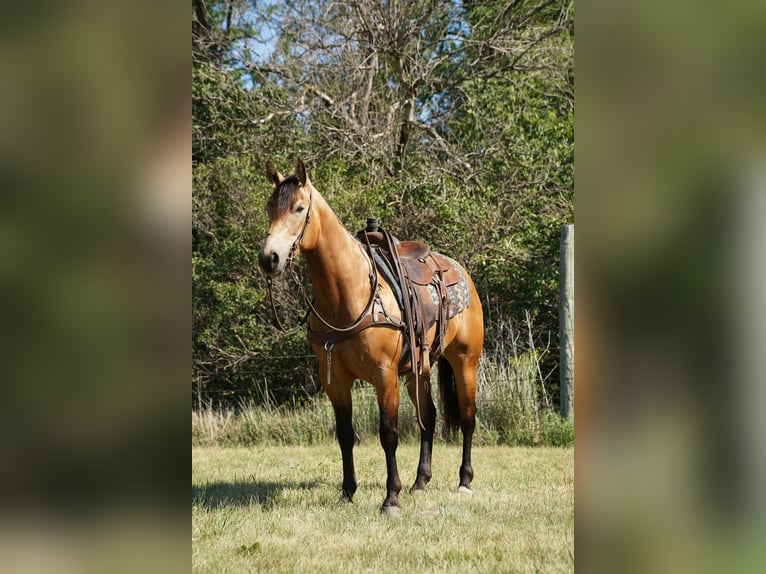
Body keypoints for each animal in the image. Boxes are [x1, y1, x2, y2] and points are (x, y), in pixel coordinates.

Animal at [258, 159, 484, 512]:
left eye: (298, 208)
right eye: (270, 208)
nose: (270, 258)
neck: (349, 293)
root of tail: (458, 271)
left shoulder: (384, 375)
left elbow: (388, 434)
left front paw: (391, 497)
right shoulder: (335, 379)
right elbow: (345, 434)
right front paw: (348, 492)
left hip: (465, 362)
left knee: (467, 417)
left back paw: (464, 481)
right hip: (418, 370)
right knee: (429, 416)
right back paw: (421, 481)